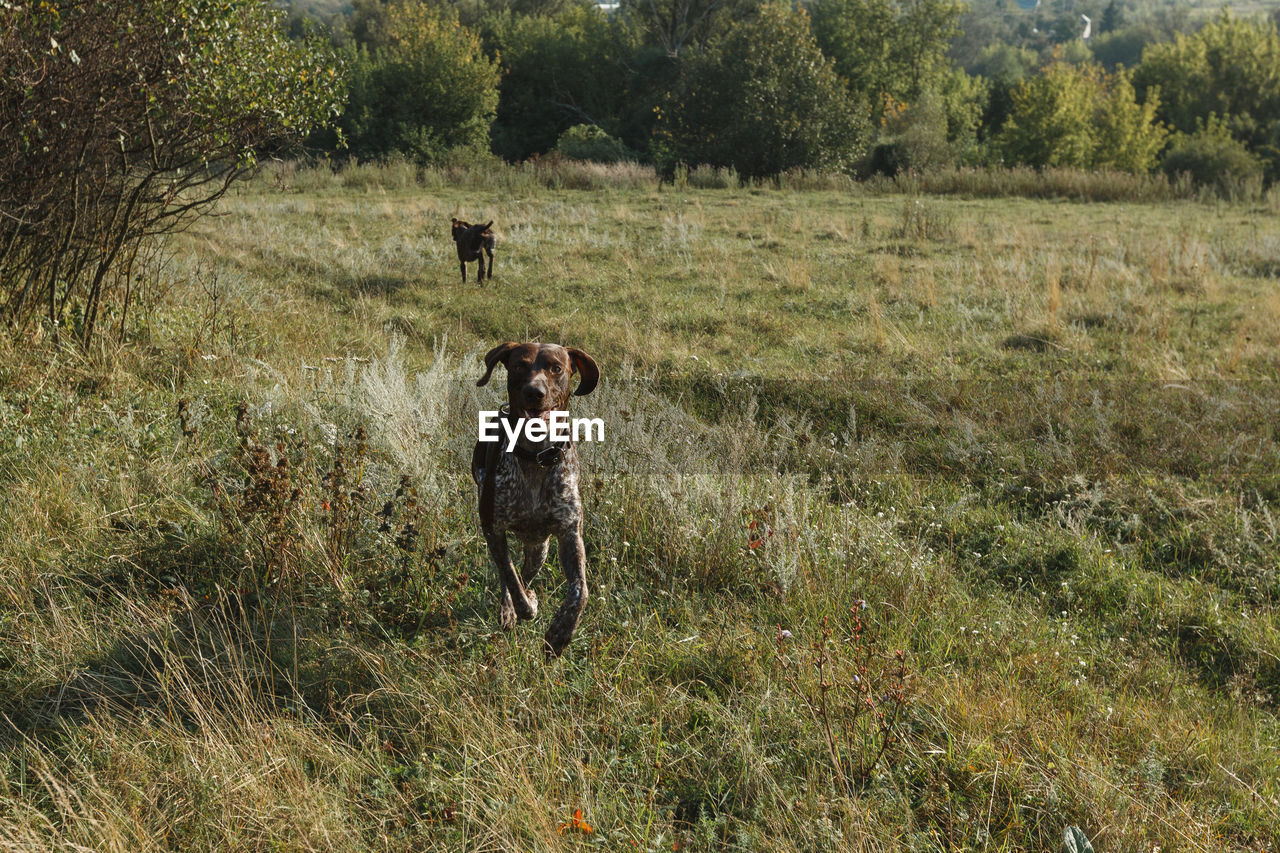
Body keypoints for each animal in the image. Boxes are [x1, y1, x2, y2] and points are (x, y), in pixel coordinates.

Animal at [471, 343, 599, 653]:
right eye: (519, 365)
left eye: (556, 368)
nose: (534, 392)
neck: (535, 457)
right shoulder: (492, 528)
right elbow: (511, 579)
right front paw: (524, 607)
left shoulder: (569, 533)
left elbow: (580, 591)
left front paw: (560, 633)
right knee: (510, 576)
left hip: (539, 549)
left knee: (526, 572)